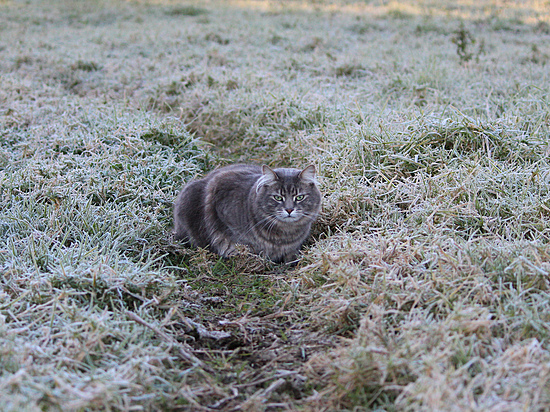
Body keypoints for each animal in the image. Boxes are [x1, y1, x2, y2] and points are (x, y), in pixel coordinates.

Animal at [174, 163, 324, 262]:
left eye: (299, 197)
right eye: (278, 197)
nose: (289, 209)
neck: (285, 233)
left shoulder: (293, 248)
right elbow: (233, 241)